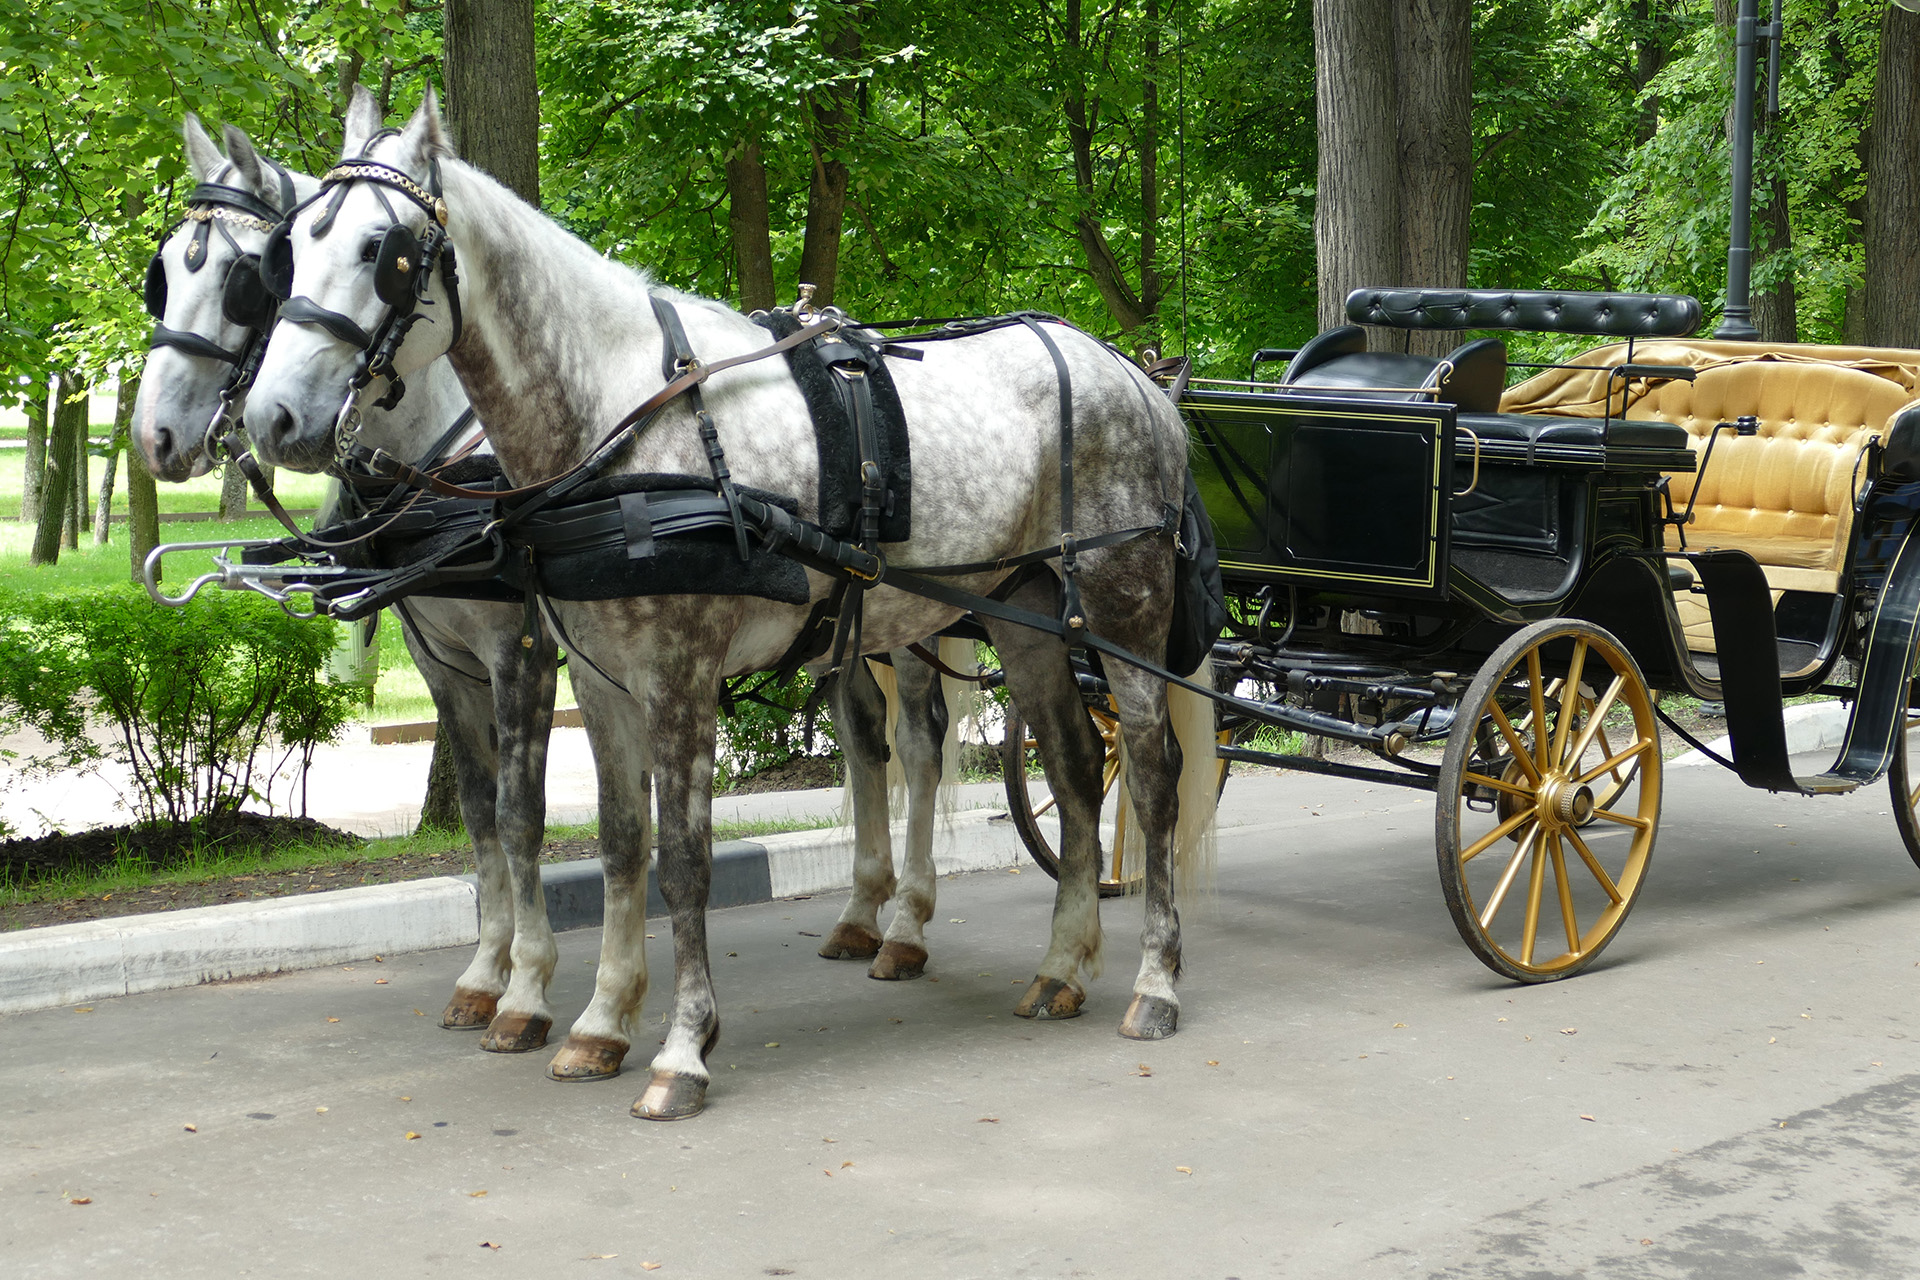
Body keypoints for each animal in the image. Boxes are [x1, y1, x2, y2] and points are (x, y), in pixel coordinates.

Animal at [243, 87, 1213, 1120]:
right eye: (290, 250)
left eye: (382, 251)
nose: (272, 419)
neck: (621, 421)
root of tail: (1138, 378)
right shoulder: (598, 677)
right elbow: (622, 843)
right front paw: (600, 1021)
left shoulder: (676, 673)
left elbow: (682, 858)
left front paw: (680, 1047)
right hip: (1020, 612)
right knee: (1072, 772)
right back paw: (1063, 965)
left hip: (1121, 610)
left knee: (1148, 774)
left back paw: (1154, 982)